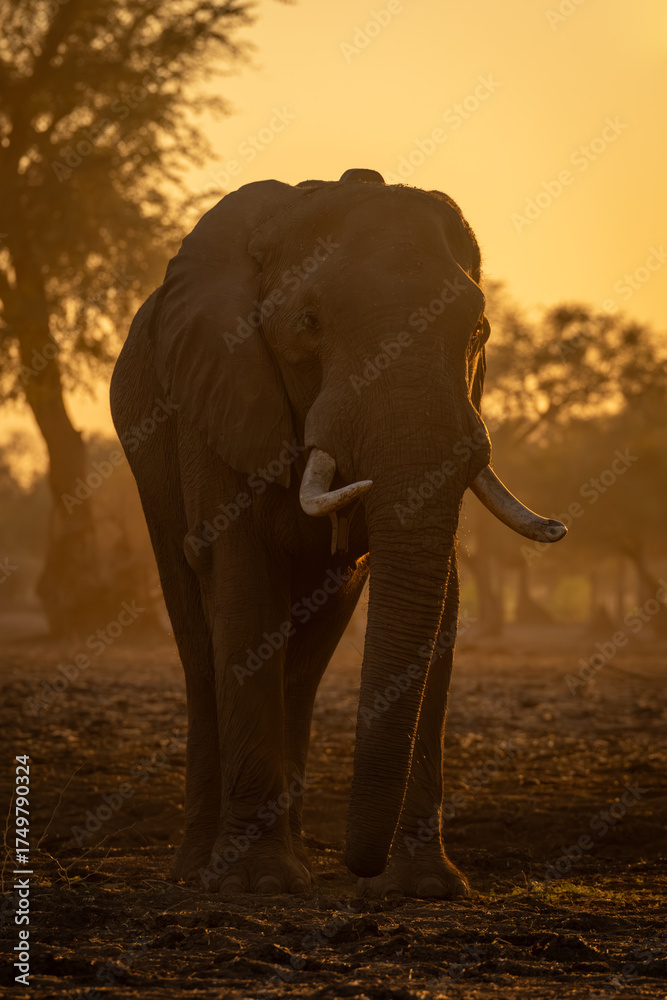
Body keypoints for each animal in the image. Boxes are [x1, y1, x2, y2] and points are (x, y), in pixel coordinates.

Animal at [110, 167, 566, 898]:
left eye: (479, 329)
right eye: (308, 324)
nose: (359, 867)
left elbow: (444, 597)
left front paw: (426, 889)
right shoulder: (218, 391)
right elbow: (239, 582)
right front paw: (258, 884)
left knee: (308, 653)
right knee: (197, 631)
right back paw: (200, 871)